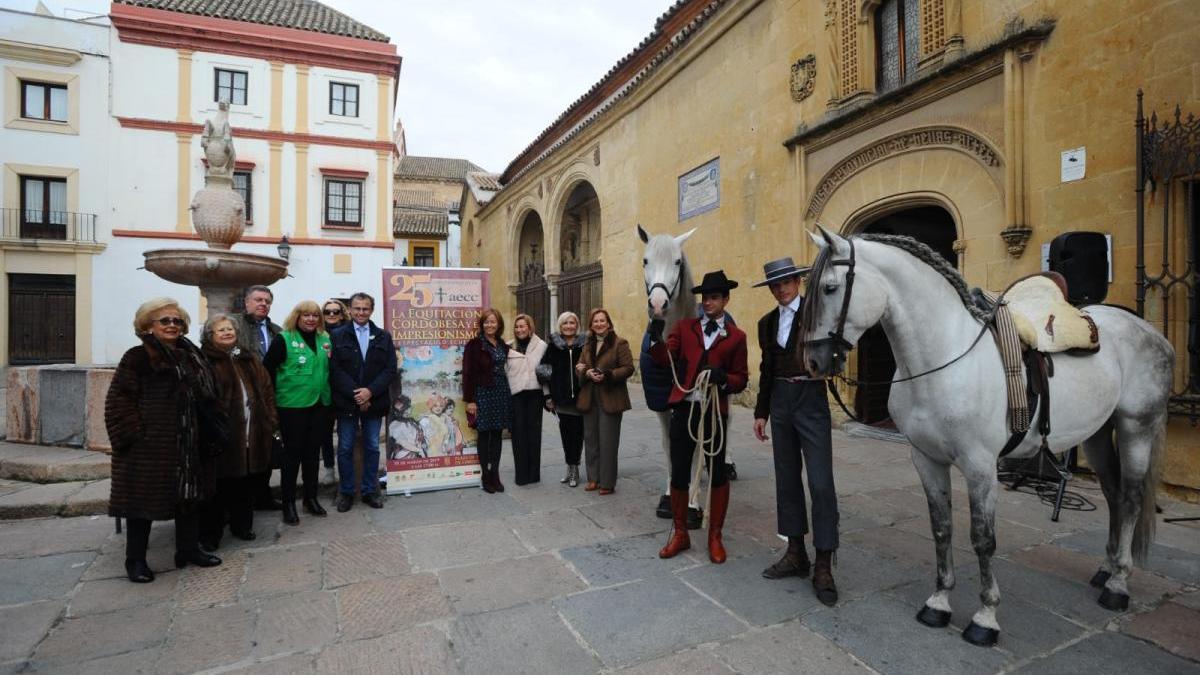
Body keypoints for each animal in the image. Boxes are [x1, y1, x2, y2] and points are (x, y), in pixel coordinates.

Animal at [801, 227, 1166, 648]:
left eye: (829, 288)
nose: (813, 363)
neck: (943, 358)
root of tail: (1149, 330)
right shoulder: (926, 459)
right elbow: (941, 527)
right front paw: (938, 603)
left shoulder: (980, 466)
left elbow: (982, 538)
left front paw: (985, 618)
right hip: (1097, 433)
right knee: (1114, 496)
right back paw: (1106, 570)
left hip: (1136, 427)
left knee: (1132, 499)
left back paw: (1118, 584)